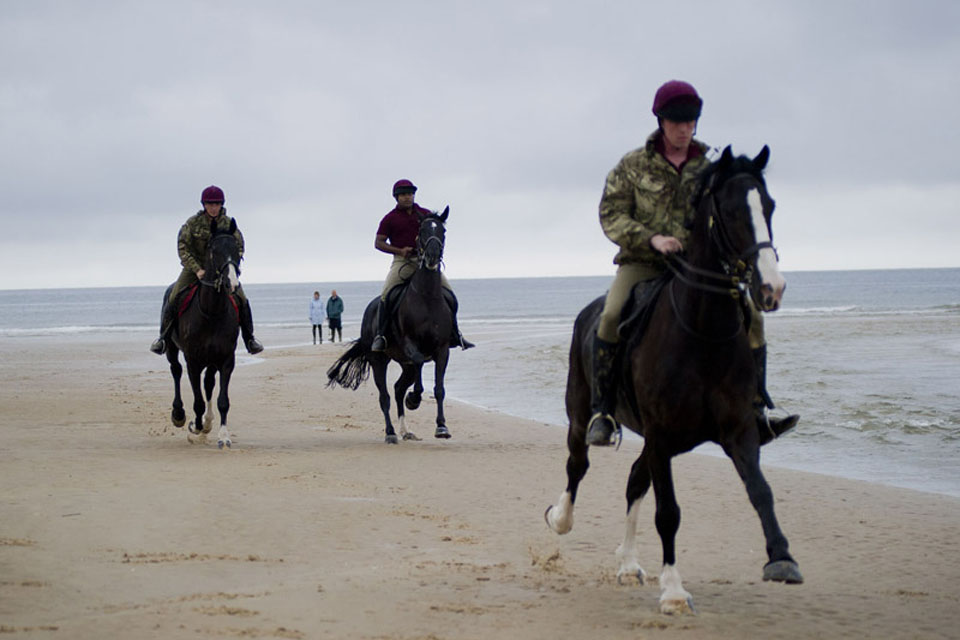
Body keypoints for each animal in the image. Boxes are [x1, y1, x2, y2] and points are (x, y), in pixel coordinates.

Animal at [165, 220, 242, 450]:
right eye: (214, 250)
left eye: (237, 249)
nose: (232, 283)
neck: (211, 311)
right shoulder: (193, 360)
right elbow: (197, 401)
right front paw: (195, 426)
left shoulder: (226, 359)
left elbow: (222, 400)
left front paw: (223, 436)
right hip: (172, 349)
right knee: (176, 371)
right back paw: (180, 415)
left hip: (212, 360)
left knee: (208, 383)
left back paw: (207, 423)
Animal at [326, 208, 454, 442]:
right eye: (422, 230)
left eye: (442, 230)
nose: (432, 257)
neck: (427, 297)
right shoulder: (411, 345)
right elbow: (419, 364)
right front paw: (414, 399)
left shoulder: (442, 350)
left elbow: (439, 389)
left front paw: (442, 427)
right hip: (379, 360)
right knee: (384, 396)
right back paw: (391, 433)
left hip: (405, 364)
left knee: (398, 388)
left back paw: (405, 431)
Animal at [548, 146, 804, 616]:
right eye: (731, 211)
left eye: (770, 206)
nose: (771, 288)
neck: (702, 333)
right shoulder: (663, 436)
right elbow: (668, 513)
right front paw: (672, 591)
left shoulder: (738, 431)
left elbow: (761, 491)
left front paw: (781, 559)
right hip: (584, 418)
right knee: (578, 465)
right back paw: (561, 518)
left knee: (635, 479)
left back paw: (628, 564)